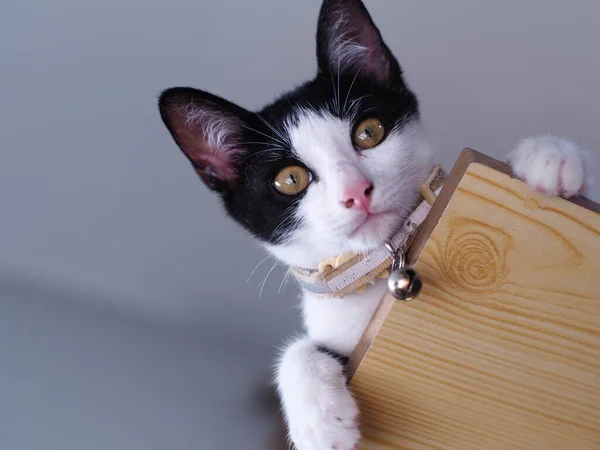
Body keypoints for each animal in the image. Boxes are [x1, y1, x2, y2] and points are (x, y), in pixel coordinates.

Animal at [159, 1, 596, 448]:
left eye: (369, 132)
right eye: (290, 180)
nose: (357, 190)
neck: (381, 268)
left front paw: (548, 157)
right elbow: (300, 349)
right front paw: (319, 421)